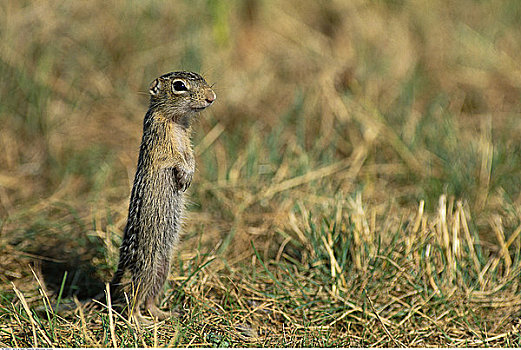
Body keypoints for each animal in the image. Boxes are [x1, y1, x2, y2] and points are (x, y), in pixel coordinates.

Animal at [109, 70, 215, 322]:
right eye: (179, 86)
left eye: (203, 78)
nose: (211, 97)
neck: (176, 120)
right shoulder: (160, 143)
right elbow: (173, 158)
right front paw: (184, 173)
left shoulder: (187, 140)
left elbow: (190, 156)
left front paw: (189, 173)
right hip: (147, 267)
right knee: (134, 301)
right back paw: (140, 323)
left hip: (163, 268)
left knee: (149, 299)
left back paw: (166, 314)